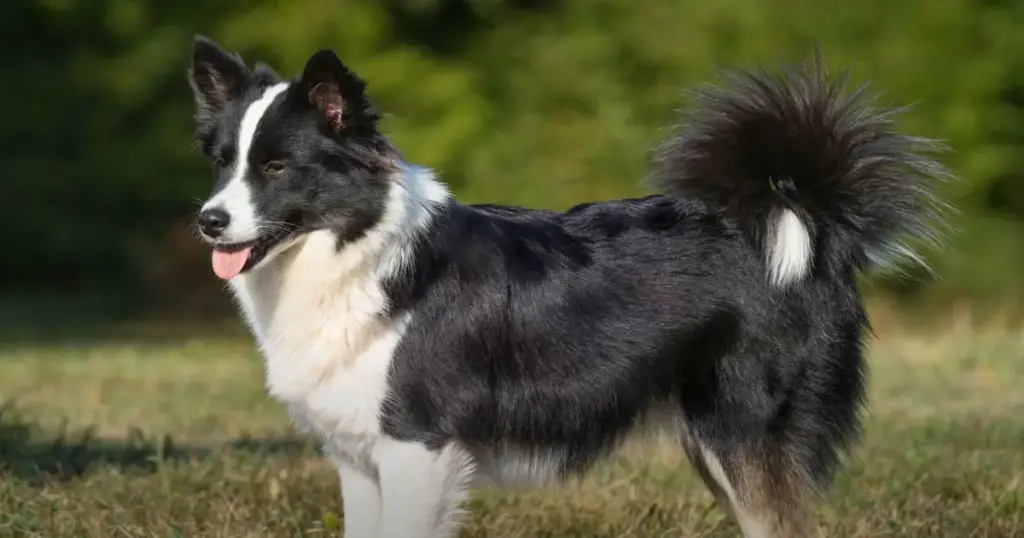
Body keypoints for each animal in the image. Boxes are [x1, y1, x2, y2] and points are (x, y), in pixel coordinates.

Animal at [186, 34, 950, 536]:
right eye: (222, 163)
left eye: (277, 167)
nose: (207, 221)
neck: (360, 254)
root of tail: (809, 220)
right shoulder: (359, 459)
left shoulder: (416, 449)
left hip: (743, 434)